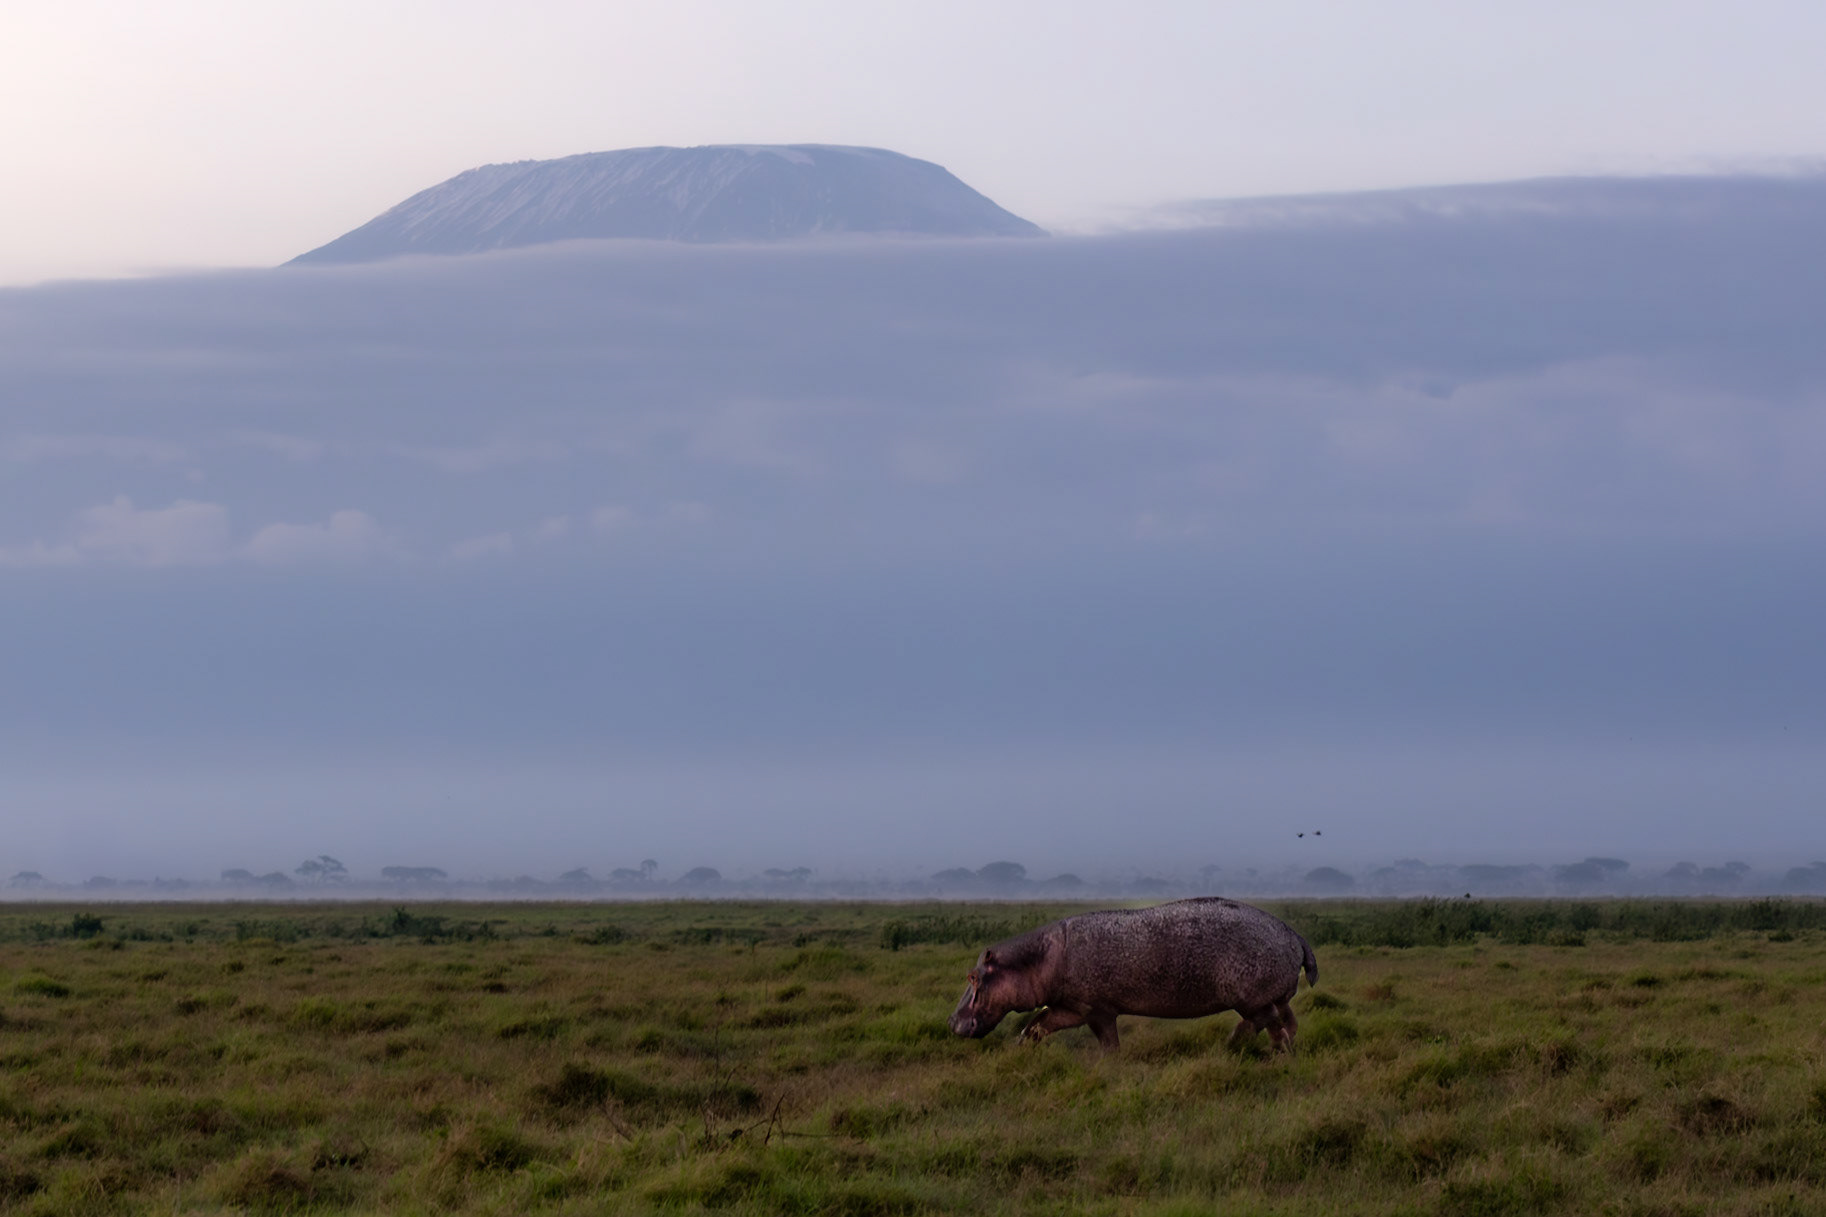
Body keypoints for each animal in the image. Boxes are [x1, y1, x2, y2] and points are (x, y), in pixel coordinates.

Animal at [948, 897, 1318, 1052]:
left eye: (973, 977)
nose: (951, 1021)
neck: (1037, 958)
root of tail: (1293, 933)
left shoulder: (1093, 1010)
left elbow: (1106, 1042)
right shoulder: (1074, 1008)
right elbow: (1036, 1025)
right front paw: (1020, 1051)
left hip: (1251, 997)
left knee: (1267, 1021)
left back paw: (1240, 1046)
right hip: (1273, 996)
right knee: (1285, 1022)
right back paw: (1270, 1049)